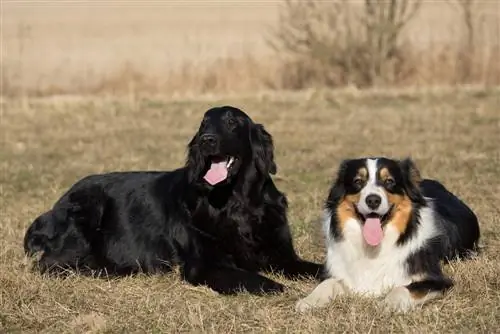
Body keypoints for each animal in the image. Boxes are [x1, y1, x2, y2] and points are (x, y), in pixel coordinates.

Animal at [23, 105, 320, 294]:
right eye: (203, 124)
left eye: (232, 122)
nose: (206, 140)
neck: (235, 203)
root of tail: (52, 209)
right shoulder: (203, 265)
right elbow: (257, 280)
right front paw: (283, 289)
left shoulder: (282, 255)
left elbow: (318, 268)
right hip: (88, 212)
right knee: (50, 265)